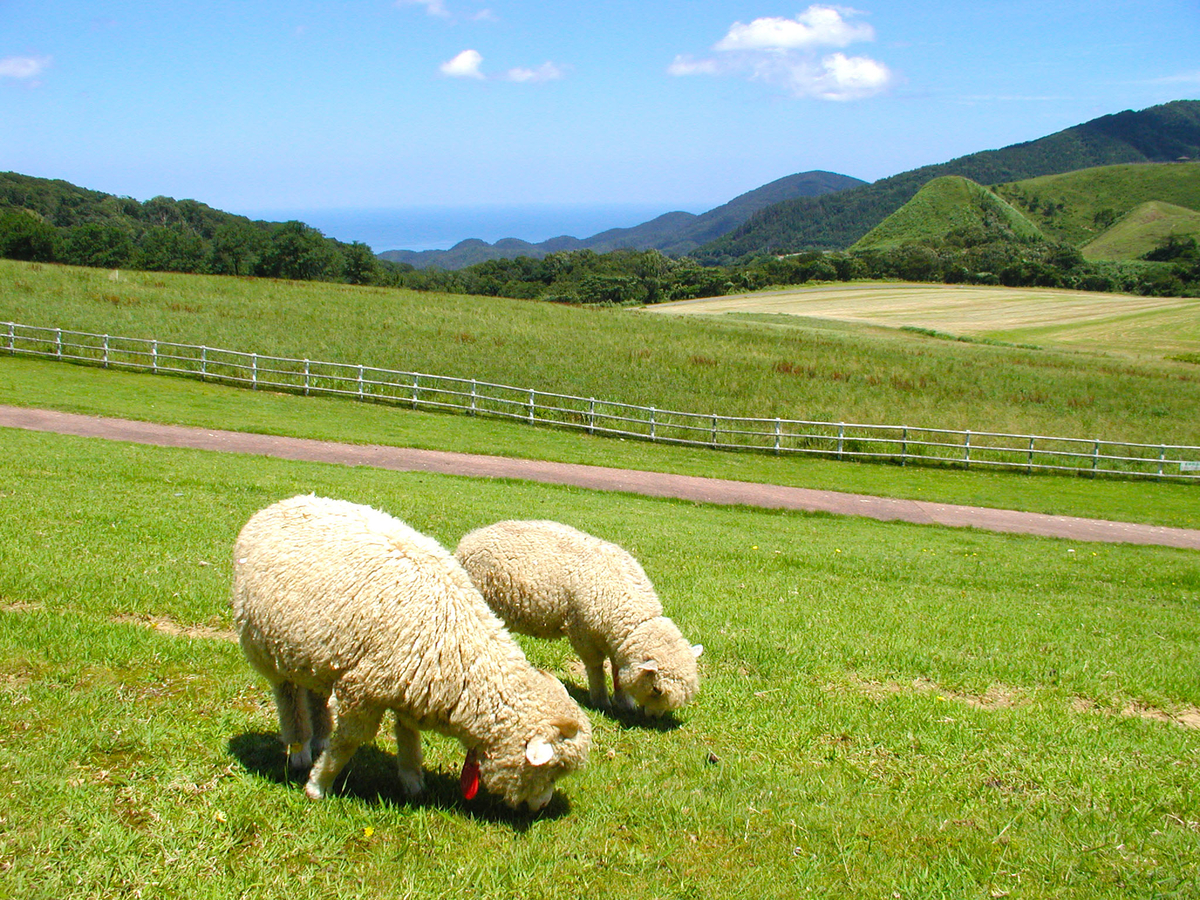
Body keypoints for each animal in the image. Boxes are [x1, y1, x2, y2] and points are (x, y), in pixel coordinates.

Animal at [229, 496, 590, 816]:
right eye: (553, 770)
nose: (540, 807)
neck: (461, 649)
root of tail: (277, 506)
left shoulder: (412, 684)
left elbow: (408, 734)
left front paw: (412, 780)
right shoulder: (362, 690)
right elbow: (348, 742)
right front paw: (319, 785)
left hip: (314, 653)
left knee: (314, 694)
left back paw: (319, 741)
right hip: (266, 646)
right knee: (287, 697)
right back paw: (301, 751)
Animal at [456, 520, 700, 720]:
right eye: (657, 690)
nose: (655, 718)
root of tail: (469, 539)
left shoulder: (615, 641)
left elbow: (617, 670)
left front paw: (624, 702)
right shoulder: (583, 632)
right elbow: (595, 667)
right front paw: (601, 700)